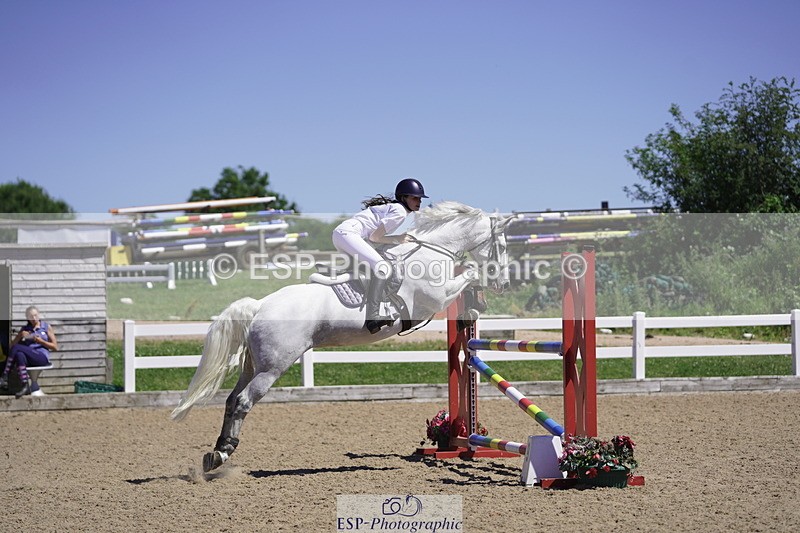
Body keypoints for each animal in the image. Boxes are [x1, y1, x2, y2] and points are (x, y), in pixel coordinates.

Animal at [170, 201, 514, 472]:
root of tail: (260, 305)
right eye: (502, 246)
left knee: (231, 400)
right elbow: (469, 273)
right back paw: (223, 453)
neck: (432, 253)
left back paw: (216, 453)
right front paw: (478, 298)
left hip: (252, 365)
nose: (504, 286)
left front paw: (476, 305)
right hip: (272, 367)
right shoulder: (436, 297)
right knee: (243, 401)